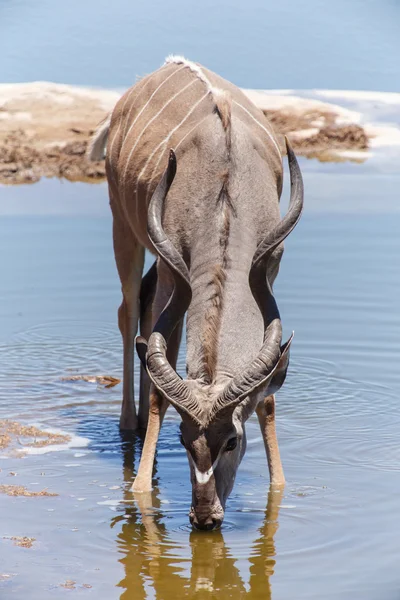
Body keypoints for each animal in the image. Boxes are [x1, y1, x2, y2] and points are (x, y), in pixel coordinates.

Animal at [89, 56, 304, 528]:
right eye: (185, 440)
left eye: (233, 440)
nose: (204, 517)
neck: (225, 191)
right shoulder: (175, 269)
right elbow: (159, 377)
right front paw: (141, 487)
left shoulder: (271, 264)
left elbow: (268, 397)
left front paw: (279, 485)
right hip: (122, 226)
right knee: (129, 311)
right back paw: (128, 425)